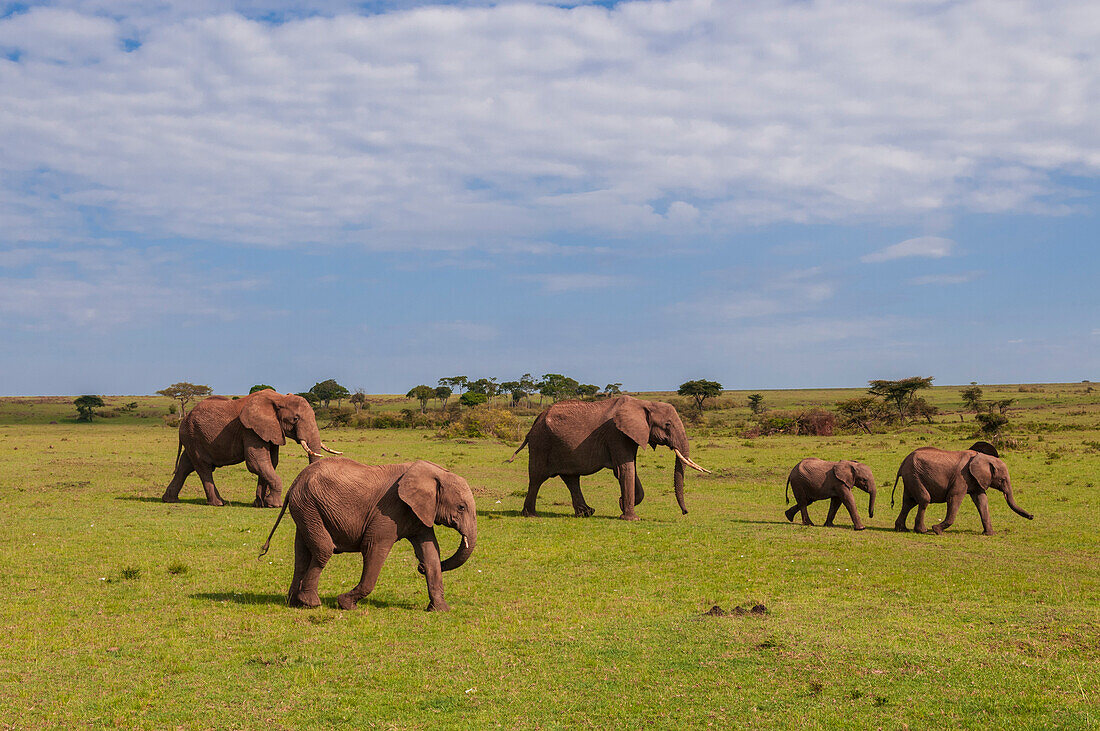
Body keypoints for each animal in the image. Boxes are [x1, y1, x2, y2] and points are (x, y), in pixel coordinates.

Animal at [161, 386, 338, 507]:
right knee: (203, 467)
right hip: (194, 436)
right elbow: (256, 462)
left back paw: (169, 500)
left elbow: (271, 462)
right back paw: (218, 503)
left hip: (192, 438)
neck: (279, 399)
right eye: (295, 419)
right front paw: (274, 504)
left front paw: (260, 503)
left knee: (185, 465)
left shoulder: (271, 430)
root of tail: (184, 419)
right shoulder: (250, 430)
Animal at [259, 457, 479, 611]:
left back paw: (294, 603)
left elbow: (431, 552)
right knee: (323, 550)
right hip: (309, 506)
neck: (434, 472)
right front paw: (346, 604)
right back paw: (311, 603)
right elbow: (374, 548)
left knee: (302, 555)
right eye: (461, 507)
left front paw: (441, 610)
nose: (419, 568)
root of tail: (296, 481)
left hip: (306, 509)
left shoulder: (419, 512)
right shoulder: (389, 510)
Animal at [508, 393, 712, 518]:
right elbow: (625, 469)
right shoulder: (616, 433)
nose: (686, 512)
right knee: (537, 478)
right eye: (668, 425)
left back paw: (587, 513)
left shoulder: (629, 435)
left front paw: (623, 503)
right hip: (541, 442)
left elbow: (630, 468)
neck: (643, 403)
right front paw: (630, 517)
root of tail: (535, 420)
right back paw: (531, 514)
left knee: (571, 478)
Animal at [888, 441, 1034, 534]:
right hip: (914, 475)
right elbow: (954, 498)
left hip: (911, 477)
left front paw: (990, 534)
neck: (983, 457)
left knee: (909, 502)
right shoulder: (961, 477)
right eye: (1003, 480)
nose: (1032, 516)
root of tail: (903, 463)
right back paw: (922, 531)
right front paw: (936, 530)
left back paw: (902, 529)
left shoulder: (976, 480)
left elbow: (982, 501)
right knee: (924, 499)